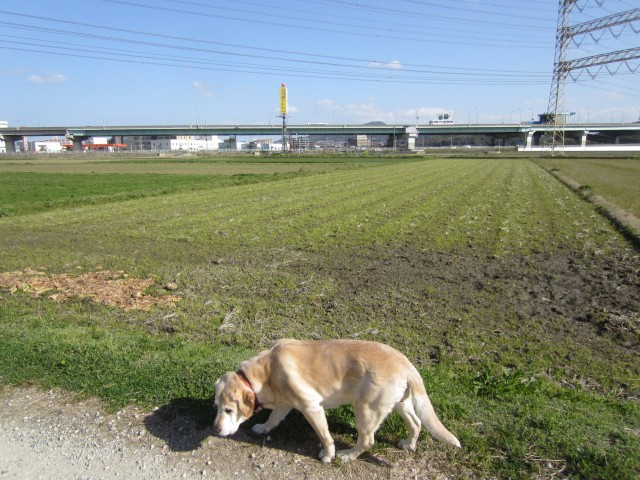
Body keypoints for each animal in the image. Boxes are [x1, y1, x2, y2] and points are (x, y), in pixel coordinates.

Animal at [214, 338, 460, 462]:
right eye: (217, 407)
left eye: (229, 410)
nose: (215, 429)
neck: (266, 370)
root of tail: (408, 365)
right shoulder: (286, 403)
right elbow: (274, 417)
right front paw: (264, 427)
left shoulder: (311, 407)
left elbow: (325, 436)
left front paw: (328, 455)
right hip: (400, 403)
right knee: (416, 423)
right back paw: (409, 444)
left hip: (366, 410)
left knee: (367, 441)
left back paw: (348, 455)